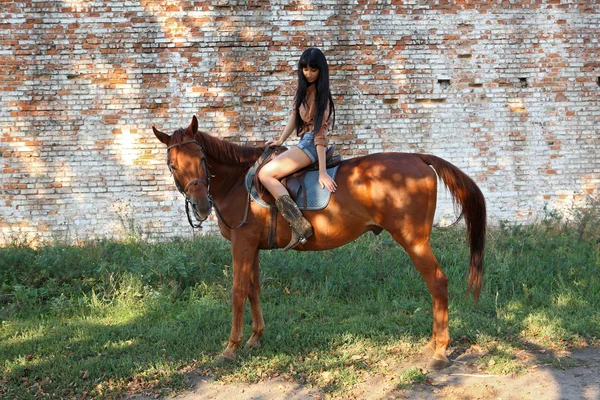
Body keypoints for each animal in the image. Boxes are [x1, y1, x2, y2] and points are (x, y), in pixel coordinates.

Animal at [152, 115, 486, 368]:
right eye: (173, 165)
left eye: (202, 159)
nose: (200, 205)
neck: (238, 183)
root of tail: (419, 157)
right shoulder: (252, 246)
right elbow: (253, 289)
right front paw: (255, 338)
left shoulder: (241, 243)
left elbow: (237, 292)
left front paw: (231, 347)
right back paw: (433, 344)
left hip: (414, 241)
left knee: (438, 282)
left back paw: (440, 350)